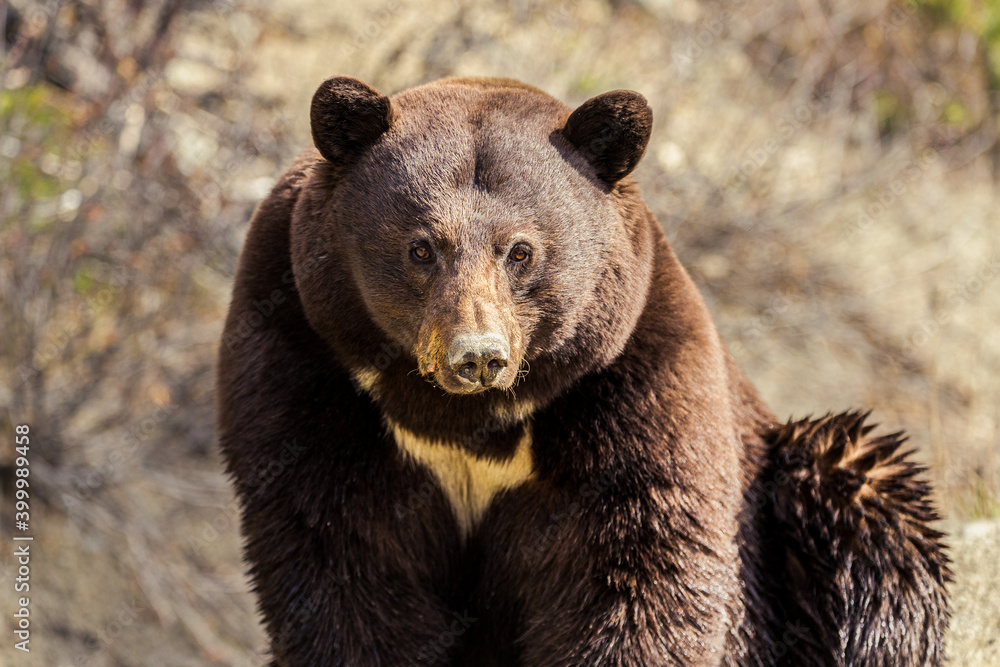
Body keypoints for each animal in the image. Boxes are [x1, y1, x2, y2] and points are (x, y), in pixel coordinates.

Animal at [216, 75, 950, 666]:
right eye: (422, 247)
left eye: (521, 251)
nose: (477, 354)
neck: (462, 419)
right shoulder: (304, 349)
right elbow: (339, 552)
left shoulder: (630, 372)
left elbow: (638, 566)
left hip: (820, 486)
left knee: (870, 533)